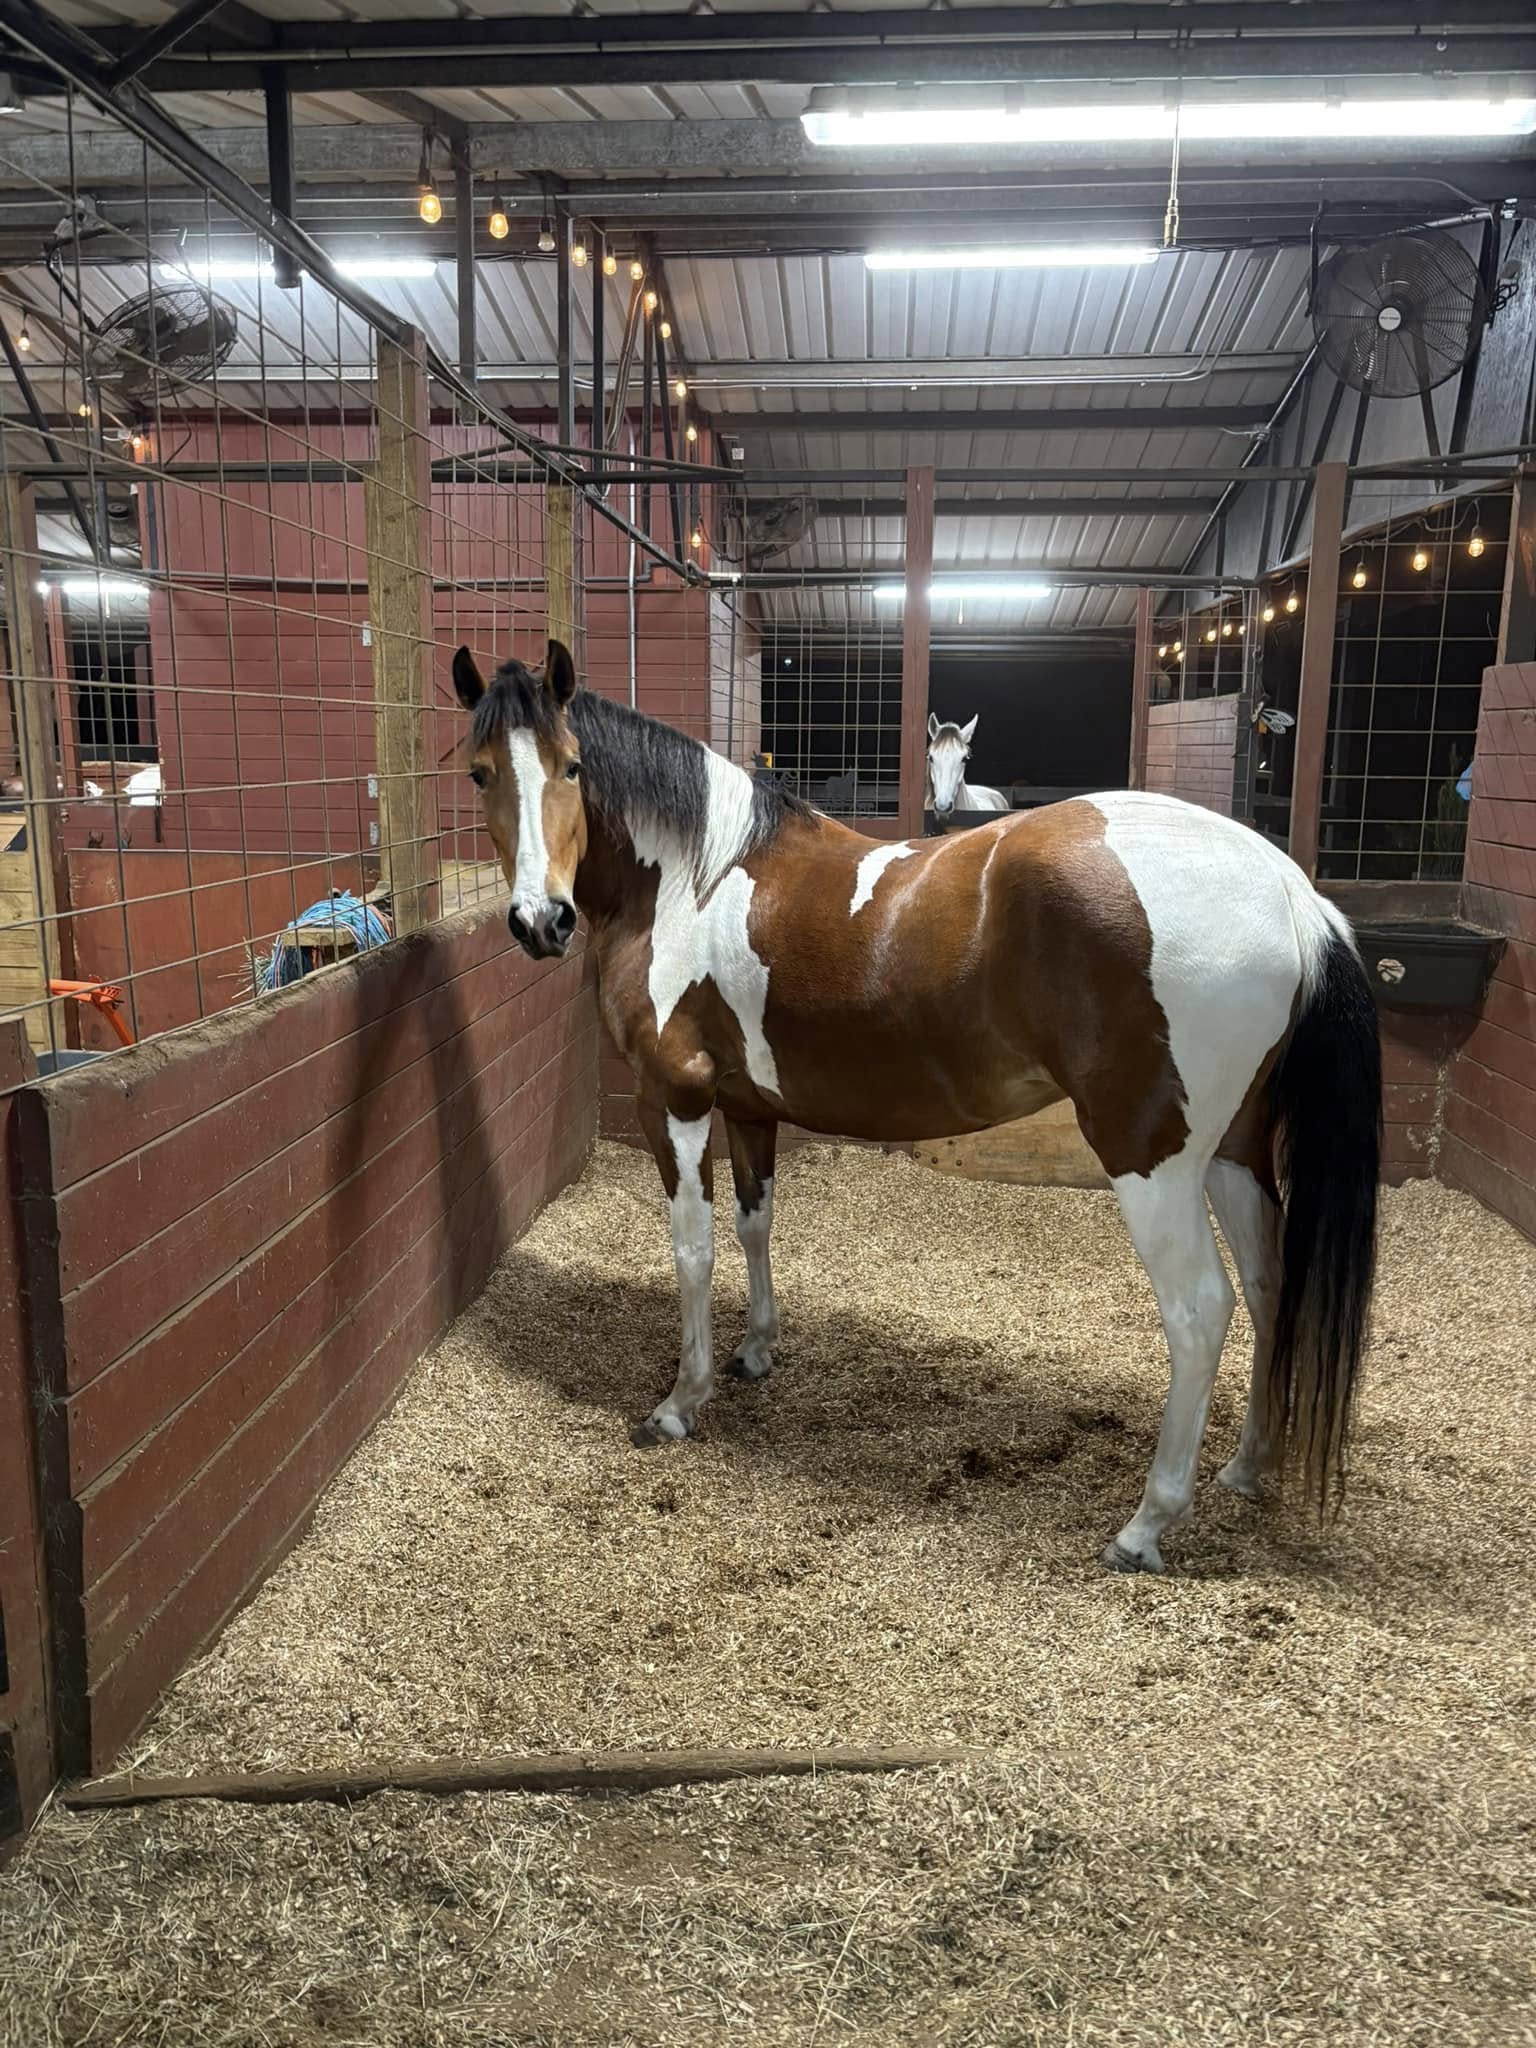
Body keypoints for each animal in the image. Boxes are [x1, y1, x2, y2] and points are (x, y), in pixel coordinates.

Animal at [453, 641, 1381, 1574]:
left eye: (572, 766)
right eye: (481, 772)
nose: (540, 921)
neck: (692, 883)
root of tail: (1291, 891)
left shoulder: (674, 1098)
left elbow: (693, 1251)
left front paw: (683, 1400)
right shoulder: (747, 1105)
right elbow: (755, 1224)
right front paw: (756, 1350)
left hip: (1152, 1156)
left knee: (1200, 1312)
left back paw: (1146, 1525)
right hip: (1234, 1151)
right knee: (1270, 1287)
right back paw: (1248, 1465)